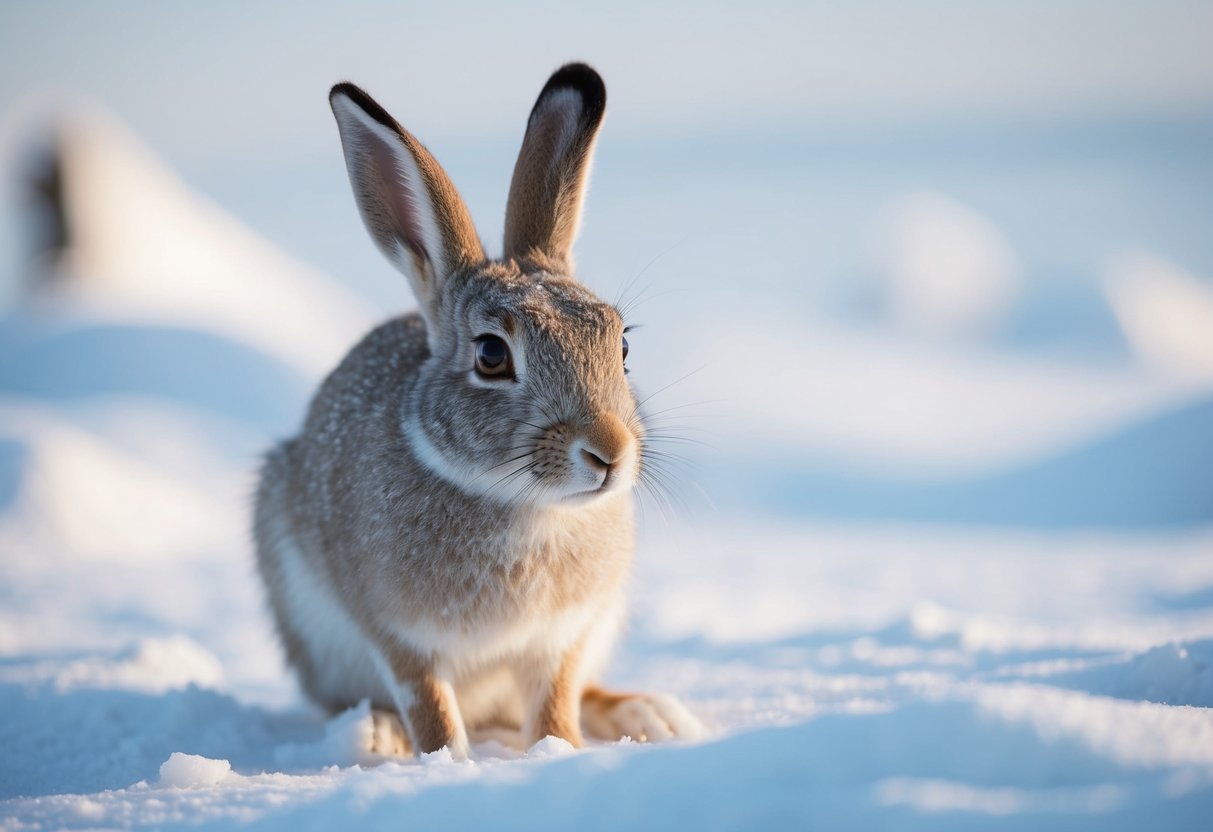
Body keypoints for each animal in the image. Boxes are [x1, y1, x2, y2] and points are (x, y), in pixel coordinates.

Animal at [253, 63, 702, 761]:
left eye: (621, 346)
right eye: (492, 355)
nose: (609, 452)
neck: (522, 504)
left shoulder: (563, 638)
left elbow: (555, 699)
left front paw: (558, 752)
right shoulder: (398, 637)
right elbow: (430, 705)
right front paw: (450, 764)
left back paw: (652, 714)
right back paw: (374, 733)